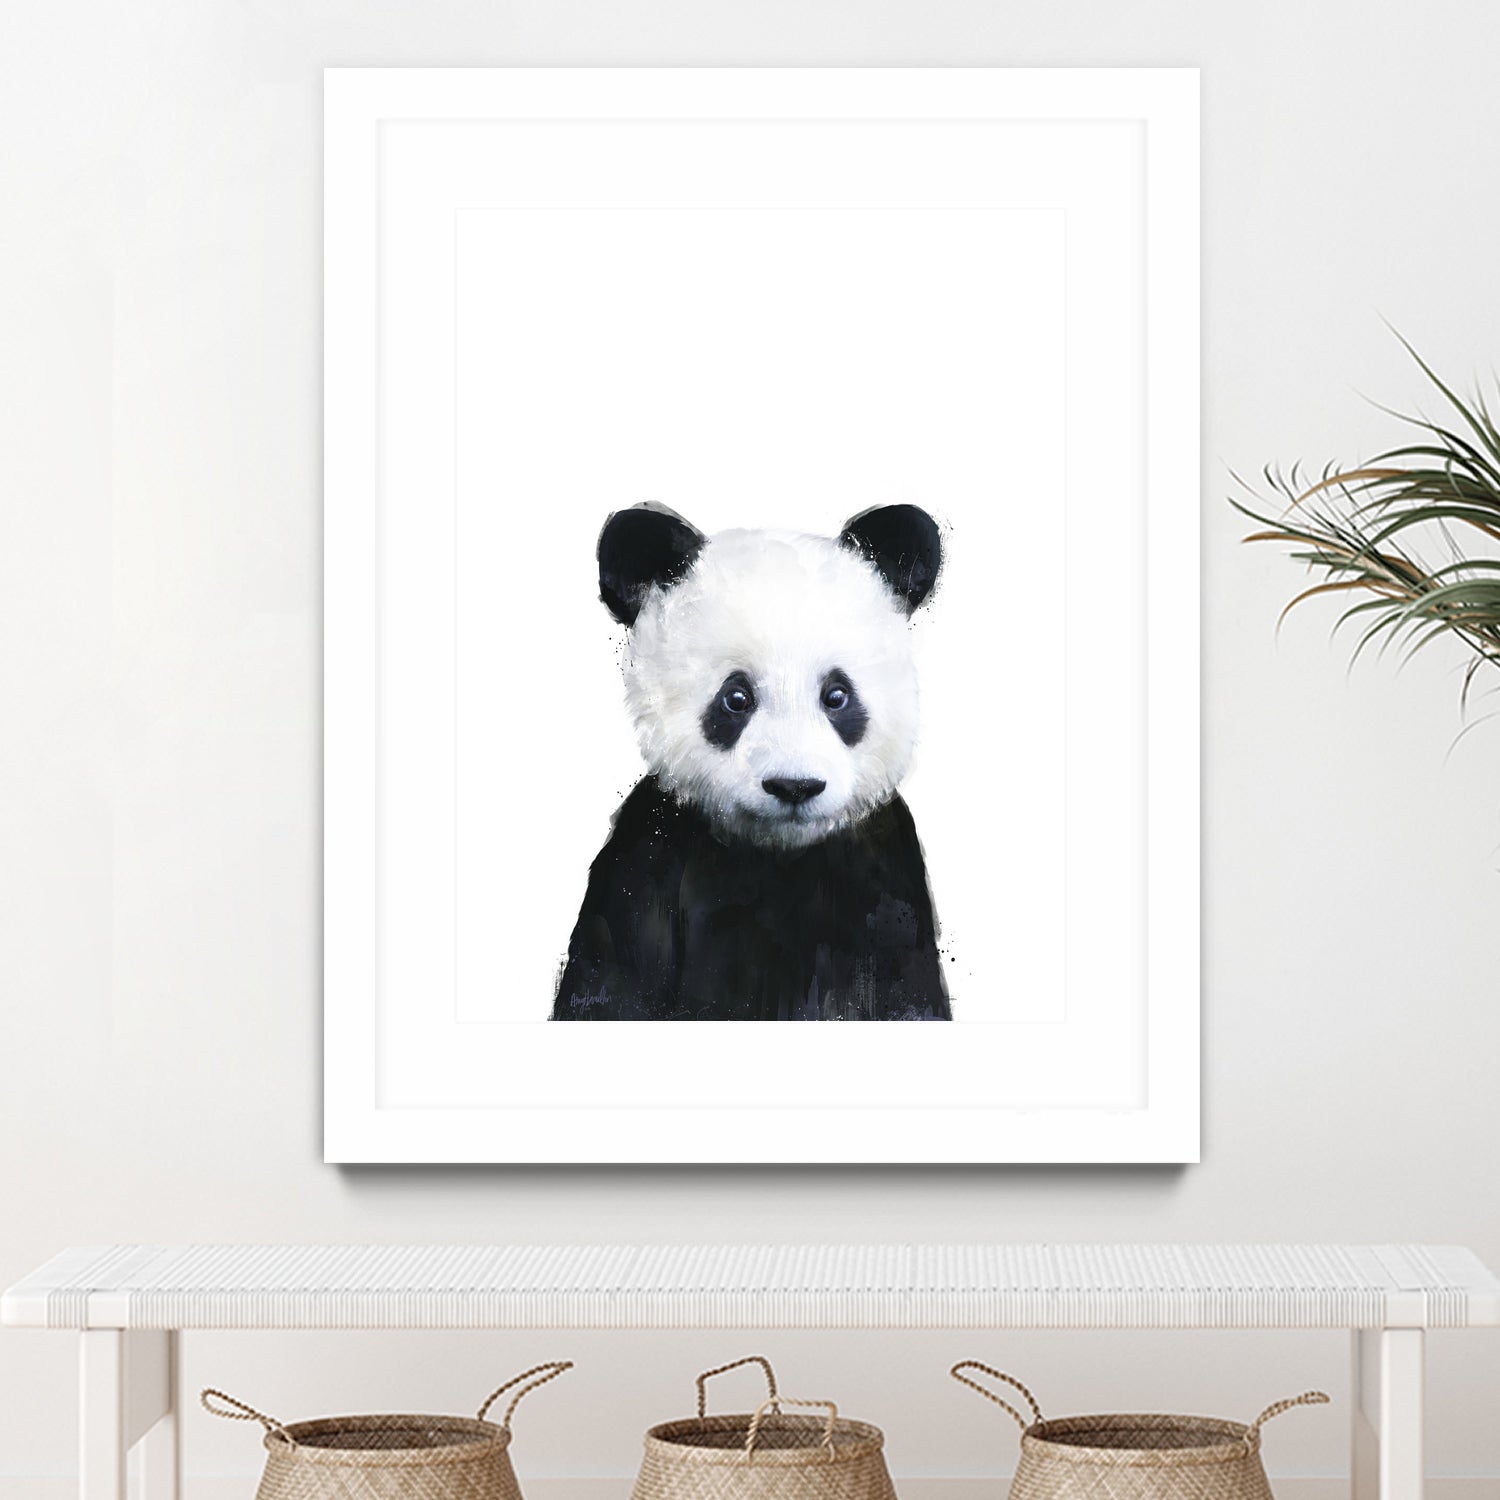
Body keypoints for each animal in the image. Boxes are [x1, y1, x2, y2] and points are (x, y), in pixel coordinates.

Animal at [551, 502, 951, 1022]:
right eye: (736, 698)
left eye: (837, 695)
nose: (794, 786)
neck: (778, 853)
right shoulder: (648, 859)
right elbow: (612, 981)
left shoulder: (884, 876)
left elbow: (906, 992)